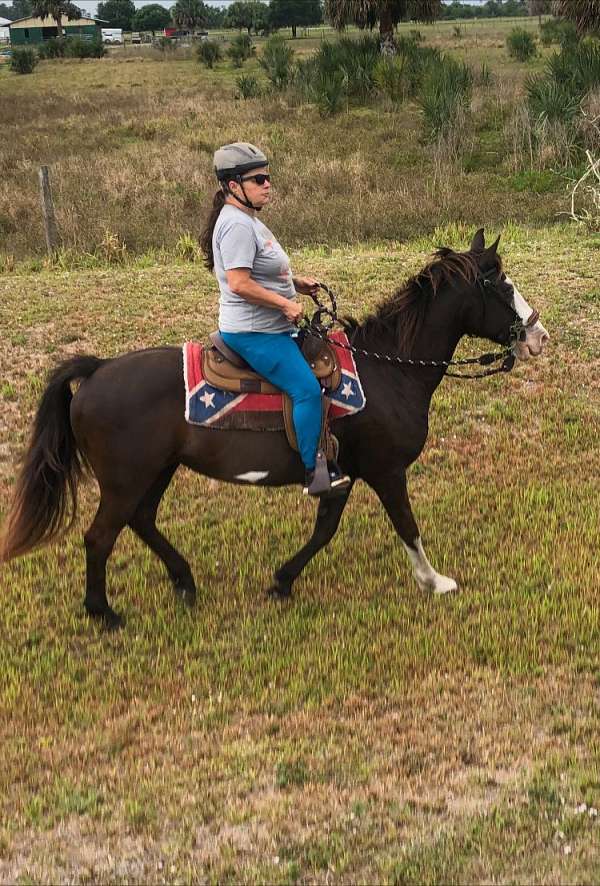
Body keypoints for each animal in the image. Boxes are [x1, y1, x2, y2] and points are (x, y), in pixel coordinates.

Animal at [0, 230, 549, 628]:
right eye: (502, 285)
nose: (539, 335)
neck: (388, 371)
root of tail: (95, 371)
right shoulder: (386, 471)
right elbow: (406, 526)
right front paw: (435, 582)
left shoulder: (341, 474)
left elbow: (324, 530)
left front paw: (282, 581)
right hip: (125, 479)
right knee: (99, 538)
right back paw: (104, 613)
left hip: (155, 471)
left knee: (142, 521)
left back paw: (184, 582)